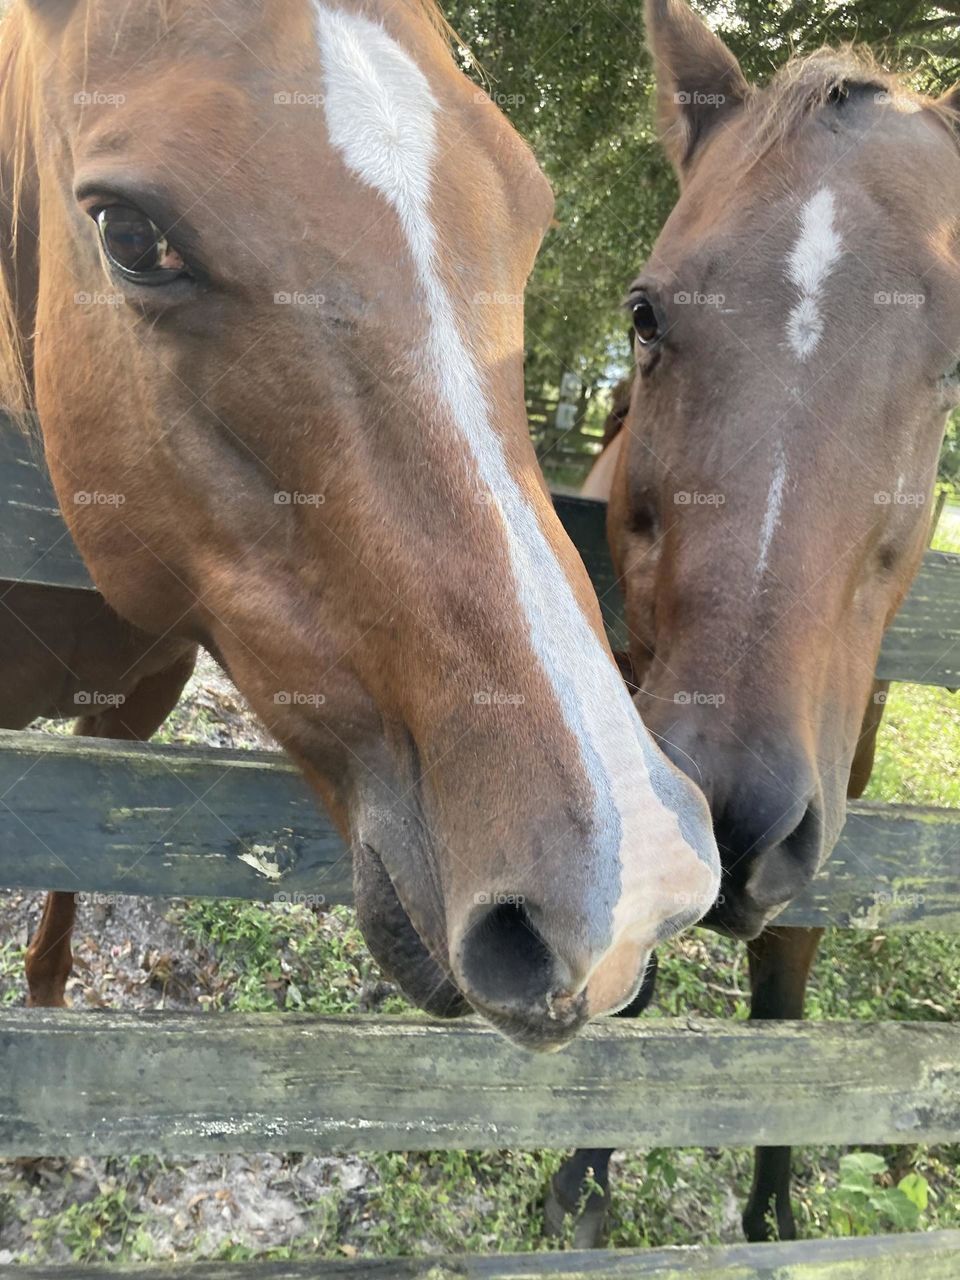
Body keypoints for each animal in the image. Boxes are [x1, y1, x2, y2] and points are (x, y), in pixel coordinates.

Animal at [548, 0, 960, 1233]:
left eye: (956, 367)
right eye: (645, 314)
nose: (730, 811)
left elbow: (784, 1000)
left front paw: (772, 1213)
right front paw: (587, 1172)